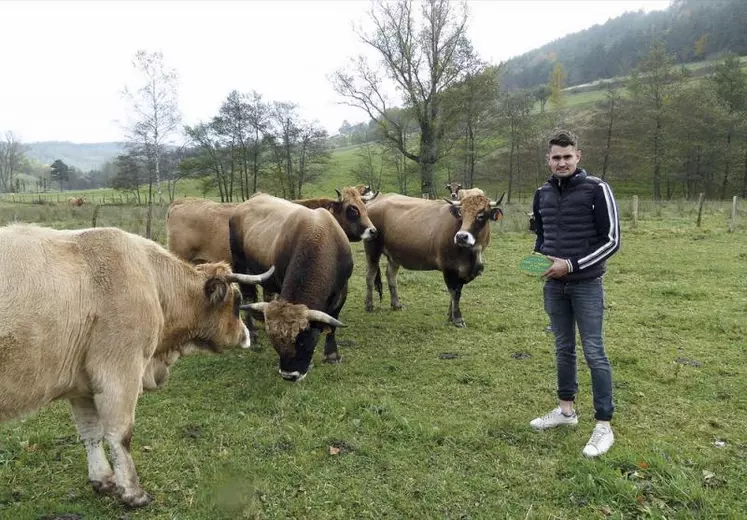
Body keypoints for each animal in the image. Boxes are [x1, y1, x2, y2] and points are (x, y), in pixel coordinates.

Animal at [0, 223, 274, 508]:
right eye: (237, 300)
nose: (247, 335)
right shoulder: (119, 372)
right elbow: (120, 435)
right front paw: (133, 492)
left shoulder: (82, 383)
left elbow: (91, 432)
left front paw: (102, 479)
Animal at [229, 193, 356, 380]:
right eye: (275, 341)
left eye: (304, 339)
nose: (289, 375)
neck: (318, 236)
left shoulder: (342, 290)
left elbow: (332, 325)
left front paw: (332, 355)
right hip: (241, 267)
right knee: (248, 297)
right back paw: (253, 334)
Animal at [366, 191, 506, 328]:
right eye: (461, 213)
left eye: (481, 215)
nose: (461, 237)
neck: (472, 254)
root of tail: (377, 199)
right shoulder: (449, 267)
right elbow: (455, 292)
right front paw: (457, 319)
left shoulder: (462, 270)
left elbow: (456, 292)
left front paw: (450, 316)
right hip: (372, 248)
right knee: (370, 275)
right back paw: (369, 305)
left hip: (394, 254)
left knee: (391, 275)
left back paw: (396, 305)